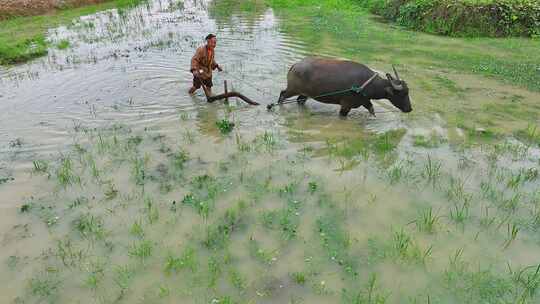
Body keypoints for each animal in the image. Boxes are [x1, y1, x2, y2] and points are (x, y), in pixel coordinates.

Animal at [278, 57, 414, 116]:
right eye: (402, 94)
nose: (409, 109)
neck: (366, 84)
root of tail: (295, 65)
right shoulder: (346, 105)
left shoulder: (365, 101)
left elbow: (372, 110)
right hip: (292, 89)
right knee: (282, 94)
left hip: (305, 94)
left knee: (299, 100)